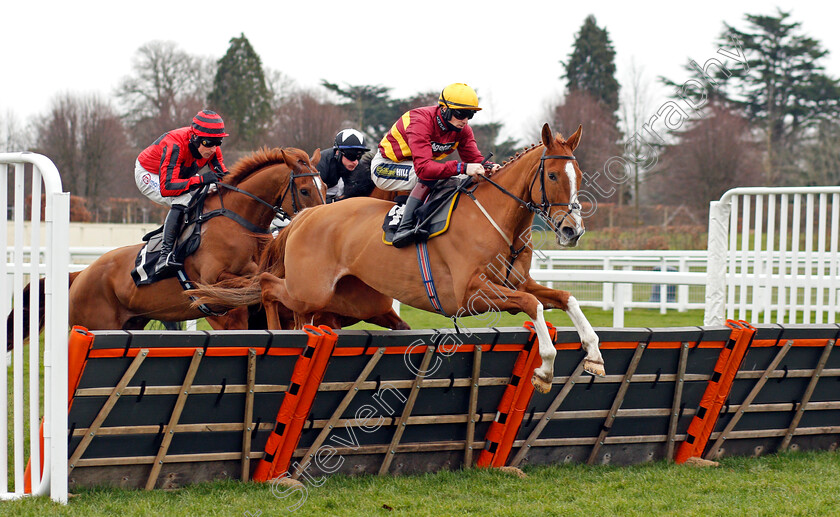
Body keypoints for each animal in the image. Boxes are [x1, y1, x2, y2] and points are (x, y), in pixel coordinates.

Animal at [192, 125, 604, 392]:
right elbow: (535, 305)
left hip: (349, 298)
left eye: (580, 175)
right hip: (310, 289)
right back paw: (279, 331)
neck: (497, 217)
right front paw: (545, 369)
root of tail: (305, 216)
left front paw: (594, 354)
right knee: (267, 286)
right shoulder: (471, 293)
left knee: (279, 294)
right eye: (553, 175)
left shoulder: (515, 283)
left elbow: (564, 298)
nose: (572, 230)